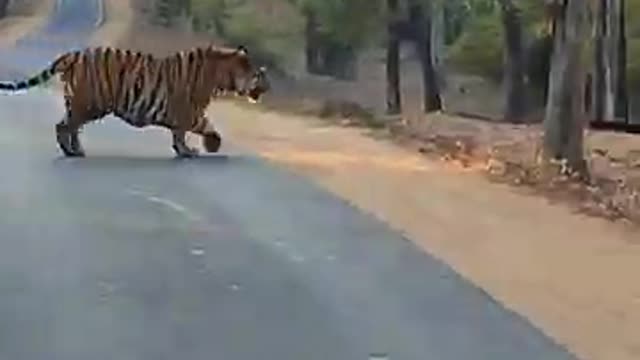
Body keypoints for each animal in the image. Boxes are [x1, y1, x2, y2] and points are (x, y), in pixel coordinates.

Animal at [0, 44, 268, 158]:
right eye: (259, 75)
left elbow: (184, 133)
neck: (222, 75)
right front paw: (201, 148)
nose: (267, 87)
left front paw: (188, 150)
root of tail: (73, 54)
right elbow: (200, 128)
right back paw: (71, 152)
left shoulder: (186, 112)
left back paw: (76, 150)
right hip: (88, 104)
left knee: (70, 126)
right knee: (65, 126)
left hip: (78, 103)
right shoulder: (189, 110)